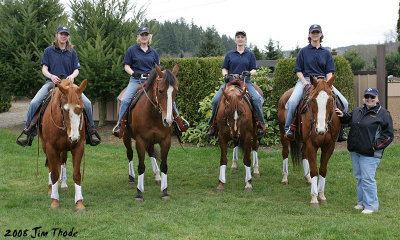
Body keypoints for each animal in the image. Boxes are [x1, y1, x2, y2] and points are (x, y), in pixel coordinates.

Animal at [39, 79, 86, 210]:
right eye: (65, 110)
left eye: (81, 109)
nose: (74, 137)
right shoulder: (50, 148)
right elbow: (54, 173)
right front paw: (54, 201)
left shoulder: (78, 147)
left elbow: (77, 175)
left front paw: (79, 203)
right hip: (45, 147)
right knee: (51, 167)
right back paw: (51, 189)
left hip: (64, 149)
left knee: (62, 161)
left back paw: (63, 184)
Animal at [122, 63, 178, 201]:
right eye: (160, 90)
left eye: (175, 91)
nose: (168, 120)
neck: (152, 114)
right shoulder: (140, 141)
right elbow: (141, 166)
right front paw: (139, 193)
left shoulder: (165, 141)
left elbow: (164, 165)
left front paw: (165, 191)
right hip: (126, 136)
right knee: (129, 154)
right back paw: (131, 178)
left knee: (151, 152)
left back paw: (157, 176)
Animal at [278, 76, 340, 207]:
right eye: (312, 101)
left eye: (331, 100)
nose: (321, 129)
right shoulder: (312, 145)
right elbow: (314, 170)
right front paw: (314, 198)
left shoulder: (329, 146)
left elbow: (322, 170)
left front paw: (321, 195)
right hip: (283, 134)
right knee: (285, 152)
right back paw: (285, 178)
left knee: (303, 153)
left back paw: (308, 179)